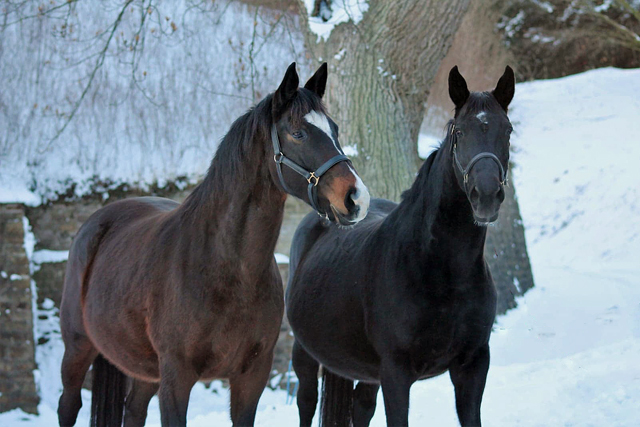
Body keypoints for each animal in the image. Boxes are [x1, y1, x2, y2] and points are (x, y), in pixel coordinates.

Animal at [58, 63, 372, 427]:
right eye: (298, 133)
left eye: (334, 129)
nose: (356, 198)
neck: (225, 268)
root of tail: (98, 222)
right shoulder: (177, 378)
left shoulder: (251, 377)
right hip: (77, 348)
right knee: (68, 406)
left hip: (144, 370)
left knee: (133, 409)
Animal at [284, 65, 516, 426]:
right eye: (459, 132)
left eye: (507, 130)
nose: (487, 195)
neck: (441, 271)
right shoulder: (396, 374)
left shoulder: (473, 365)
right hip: (306, 355)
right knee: (306, 403)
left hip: (365, 372)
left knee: (360, 410)